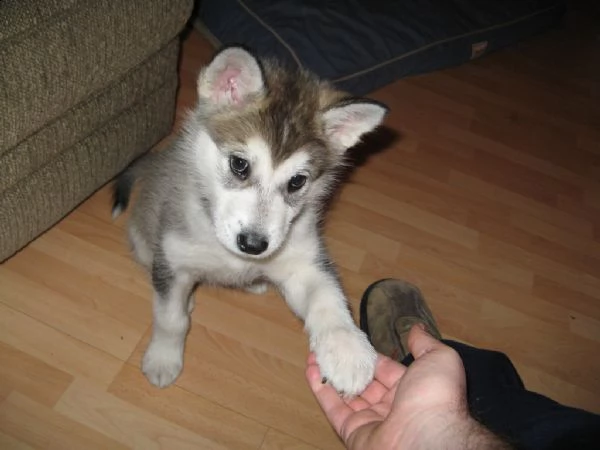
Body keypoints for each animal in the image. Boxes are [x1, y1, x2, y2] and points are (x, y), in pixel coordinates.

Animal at [112, 44, 390, 392]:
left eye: (297, 181)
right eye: (239, 164)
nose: (254, 245)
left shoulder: (302, 261)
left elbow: (328, 296)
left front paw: (348, 349)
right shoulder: (173, 260)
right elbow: (171, 320)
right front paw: (163, 358)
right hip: (145, 242)